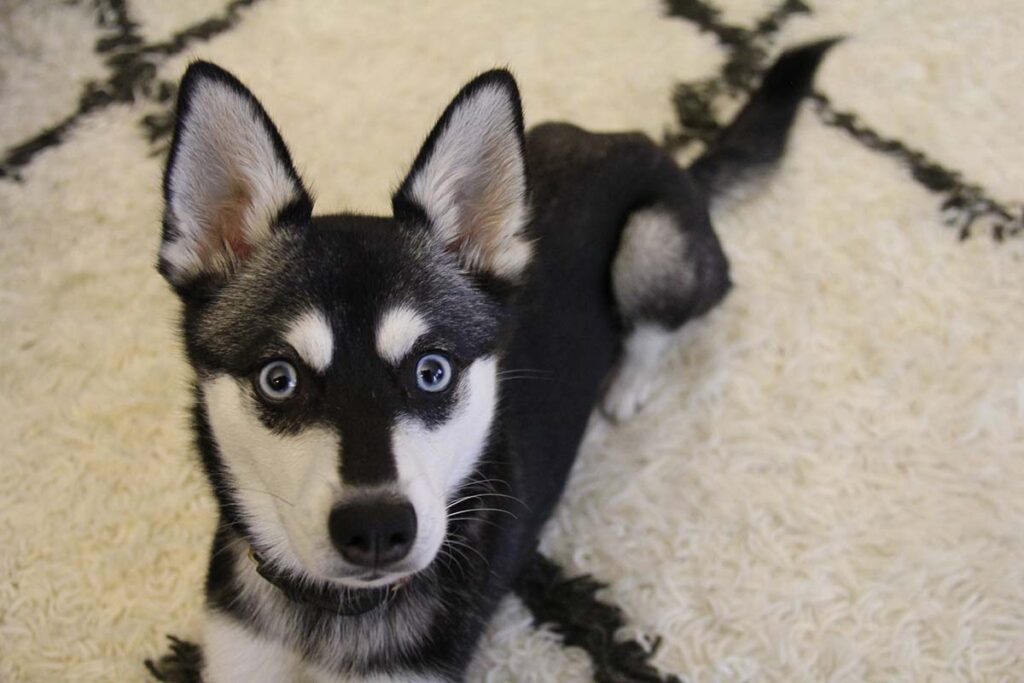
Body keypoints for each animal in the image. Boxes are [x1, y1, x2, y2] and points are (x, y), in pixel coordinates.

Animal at [157, 40, 831, 679]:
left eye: (432, 371)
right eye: (280, 378)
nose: (376, 529)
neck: (330, 617)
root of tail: (654, 150)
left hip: (654, 243)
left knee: (651, 329)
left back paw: (625, 387)